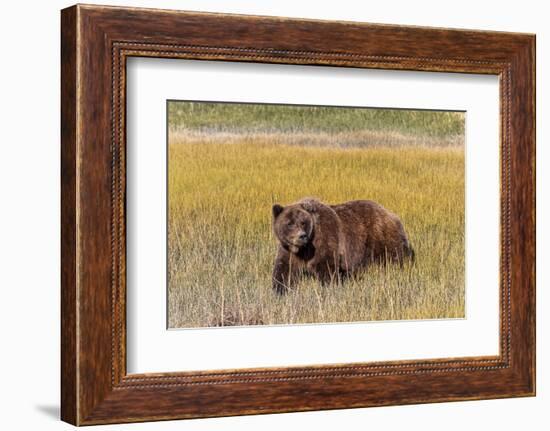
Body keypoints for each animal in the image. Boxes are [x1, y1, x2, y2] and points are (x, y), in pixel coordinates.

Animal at [272, 198, 414, 294]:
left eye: (303, 222)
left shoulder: (325, 240)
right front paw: (279, 291)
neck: (303, 249)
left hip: (382, 239)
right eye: (289, 223)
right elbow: (284, 270)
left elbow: (326, 268)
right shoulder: (289, 251)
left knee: (395, 259)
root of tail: (392, 215)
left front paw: (329, 289)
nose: (301, 236)